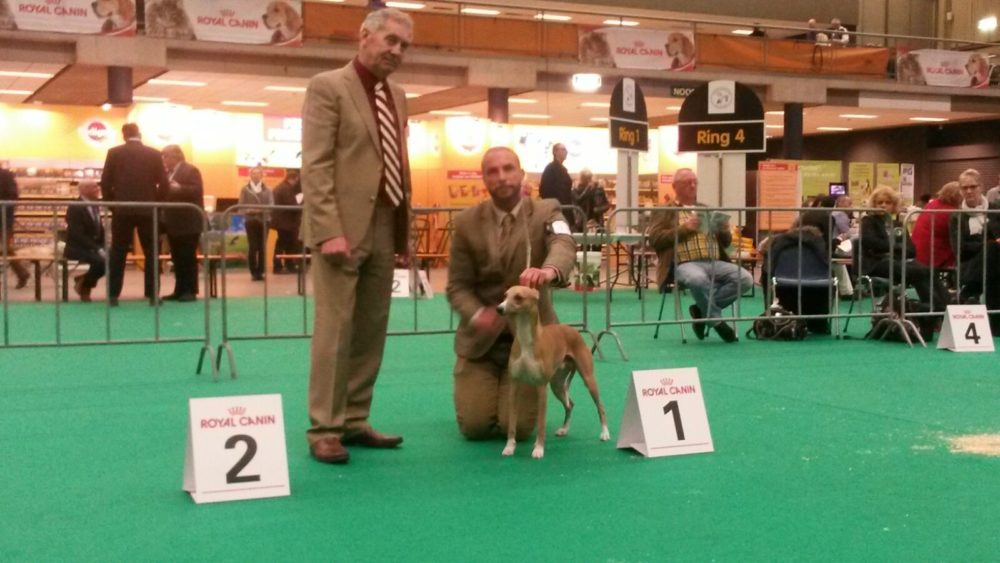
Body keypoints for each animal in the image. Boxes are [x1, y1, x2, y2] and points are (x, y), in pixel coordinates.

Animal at [498, 286, 612, 458]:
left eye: (518, 297)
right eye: (505, 296)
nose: (499, 308)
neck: (526, 342)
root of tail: (573, 329)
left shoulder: (541, 388)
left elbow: (541, 424)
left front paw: (538, 449)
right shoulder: (514, 386)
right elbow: (511, 422)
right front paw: (509, 447)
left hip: (587, 378)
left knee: (600, 406)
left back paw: (605, 433)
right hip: (557, 385)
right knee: (570, 405)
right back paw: (564, 429)